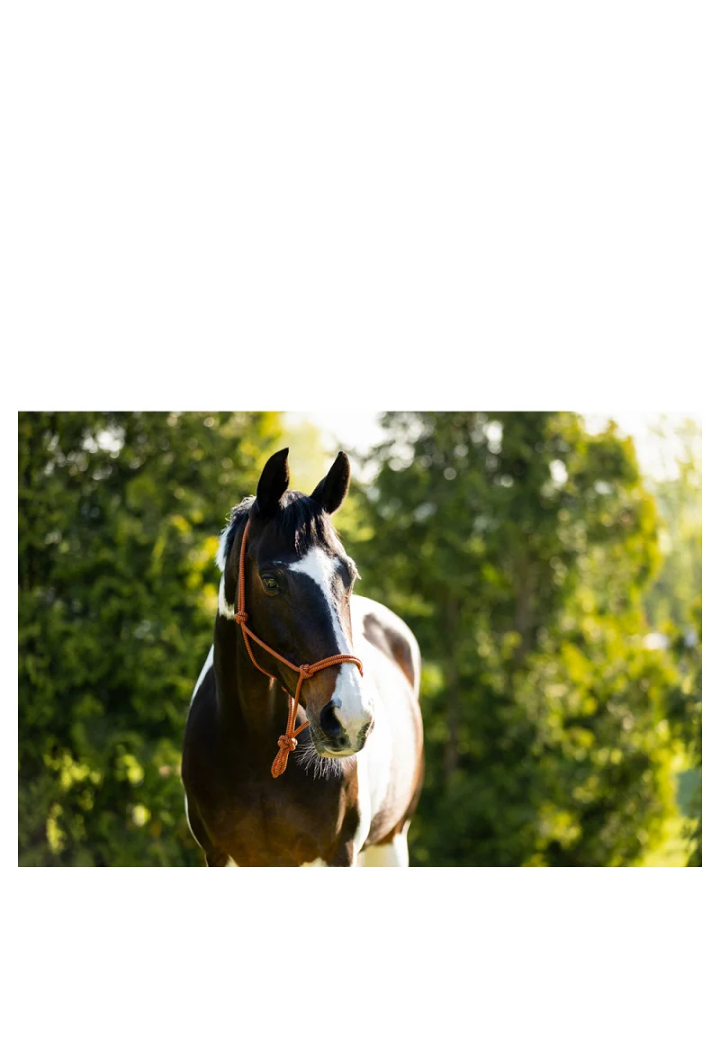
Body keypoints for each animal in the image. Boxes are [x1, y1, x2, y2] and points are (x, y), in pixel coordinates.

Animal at [181, 448, 424, 866]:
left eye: (349, 575)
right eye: (271, 581)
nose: (351, 718)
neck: (254, 746)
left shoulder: (339, 852)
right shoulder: (219, 854)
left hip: (391, 840)